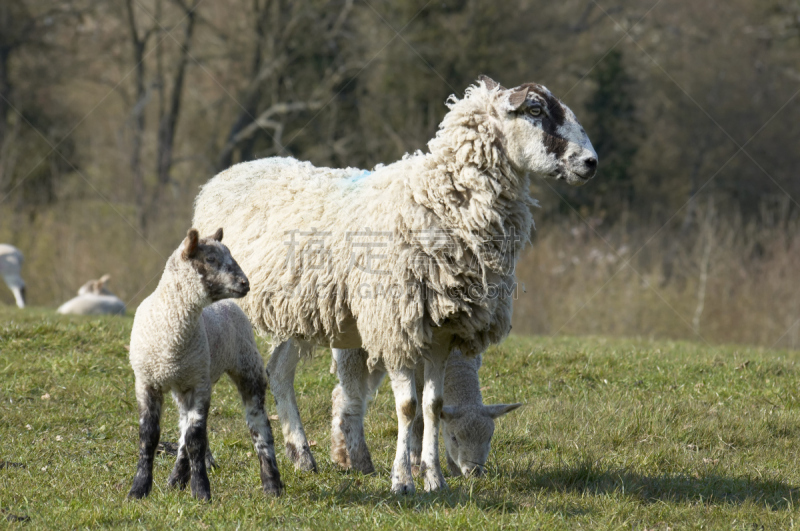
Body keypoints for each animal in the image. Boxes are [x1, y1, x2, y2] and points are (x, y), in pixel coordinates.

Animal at [126, 230, 282, 502]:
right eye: (210, 259)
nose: (245, 283)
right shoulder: (147, 381)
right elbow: (148, 436)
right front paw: (139, 489)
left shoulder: (199, 385)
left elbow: (196, 440)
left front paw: (201, 491)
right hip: (185, 380)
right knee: (182, 430)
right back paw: (175, 480)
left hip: (246, 366)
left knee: (258, 424)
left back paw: (272, 484)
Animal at [330, 350, 520, 478]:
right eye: (454, 438)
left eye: (489, 438)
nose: (474, 472)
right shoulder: (417, 374)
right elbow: (419, 420)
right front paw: (415, 462)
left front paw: (453, 468)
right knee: (353, 401)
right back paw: (359, 462)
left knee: (341, 395)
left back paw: (342, 456)